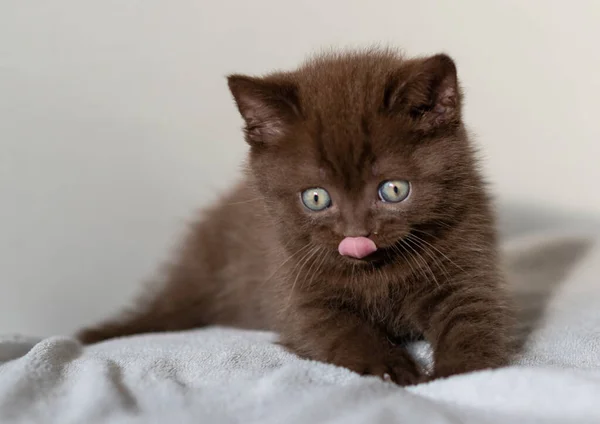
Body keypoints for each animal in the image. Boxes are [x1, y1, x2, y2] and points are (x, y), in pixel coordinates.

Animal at [77, 47, 512, 384]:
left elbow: (471, 317)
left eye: (393, 190)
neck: (377, 271)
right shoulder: (293, 285)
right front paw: (390, 367)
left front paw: (462, 375)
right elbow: (341, 329)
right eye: (316, 198)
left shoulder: (465, 260)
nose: (357, 233)